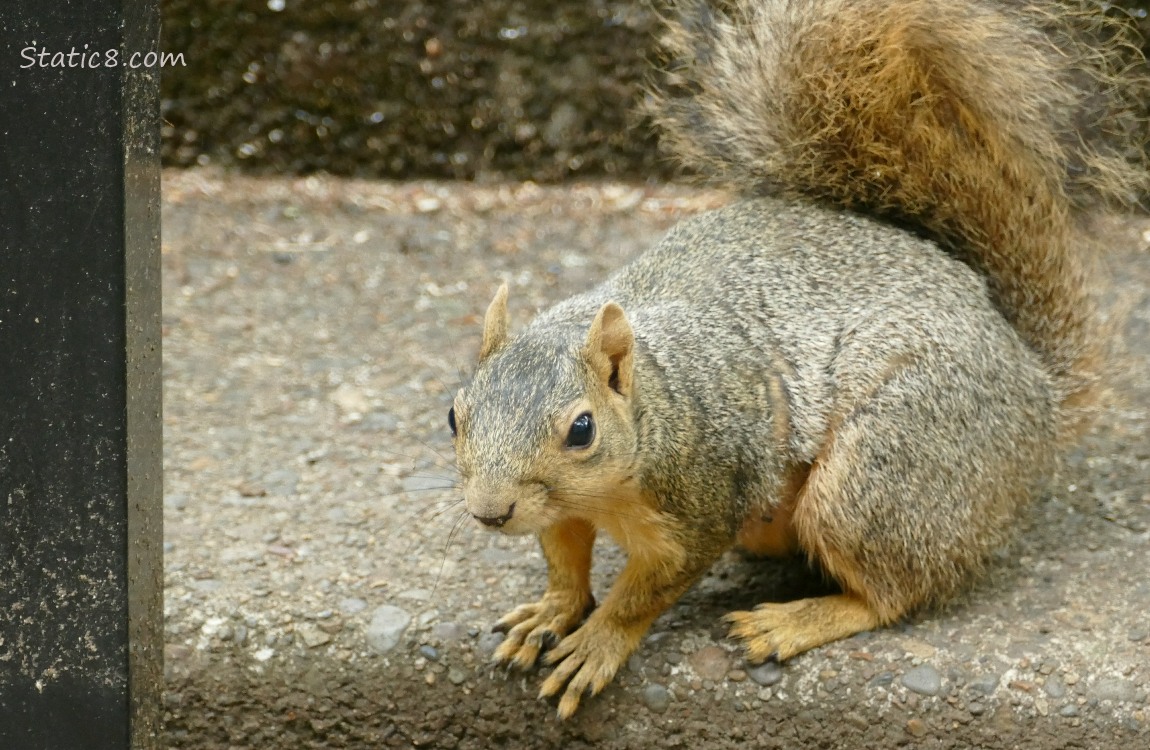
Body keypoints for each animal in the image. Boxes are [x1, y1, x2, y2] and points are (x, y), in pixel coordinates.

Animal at [443, 0, 1145, 717]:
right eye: (454, 415)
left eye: (581, 430)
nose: (489, 513)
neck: (655, 408)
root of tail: (1036, 389)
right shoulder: (560, 512)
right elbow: (562, 558)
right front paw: (551, 611)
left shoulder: (703, 498)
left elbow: (649, 590)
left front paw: (598, 642)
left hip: (883, 474)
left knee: (891, 593)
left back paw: (792, 621)